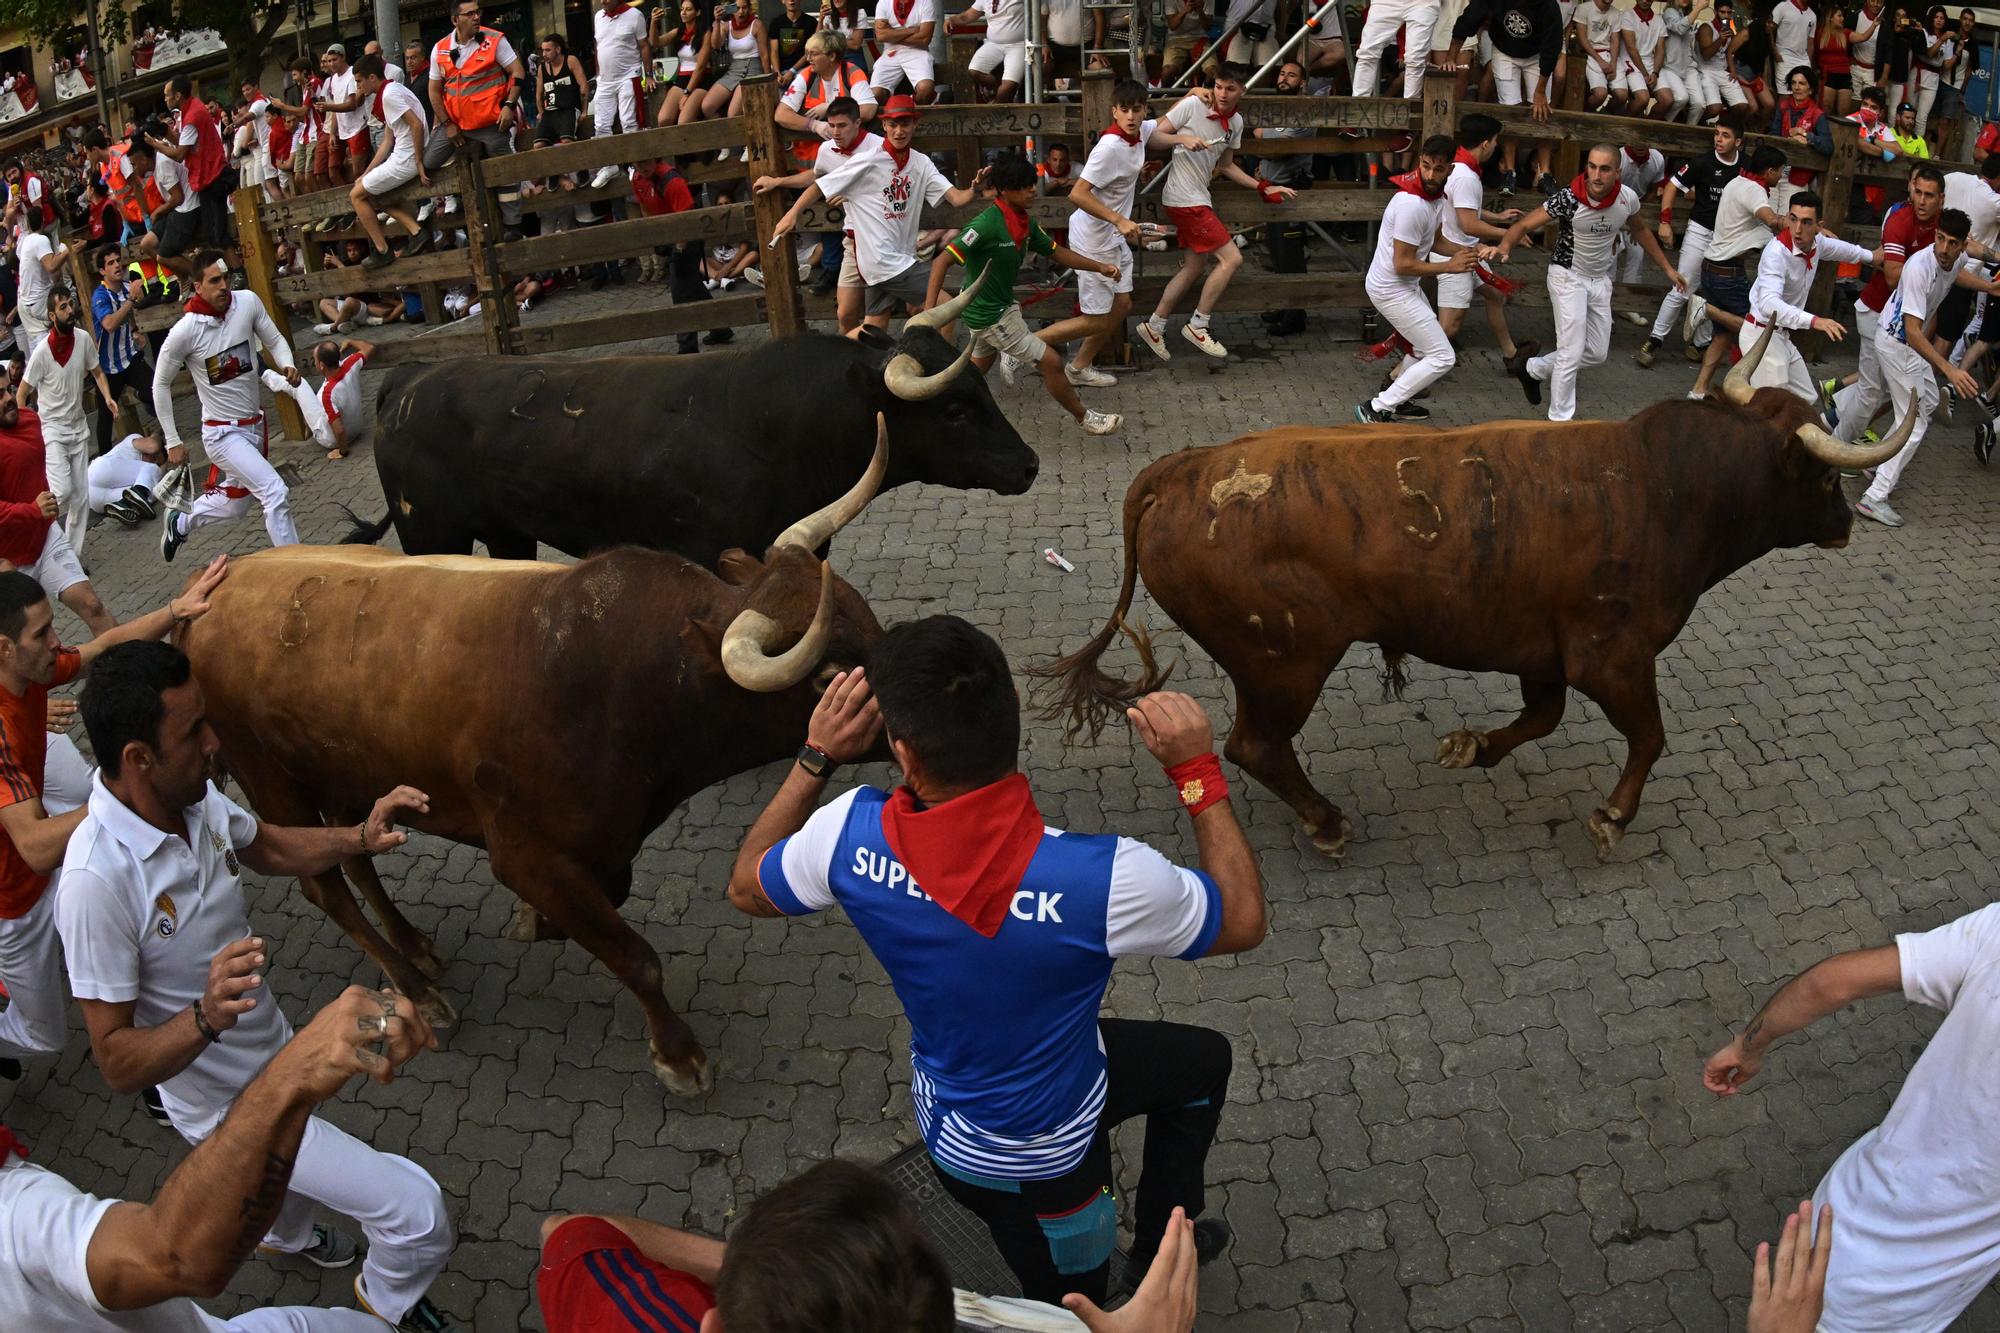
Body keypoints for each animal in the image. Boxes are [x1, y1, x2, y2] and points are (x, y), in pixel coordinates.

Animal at [180, 422, 900, 1088]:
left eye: (868, 617)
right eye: (825, 675)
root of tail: (212, 594)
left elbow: (611, 896)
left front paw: (535, 922)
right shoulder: (523, 851)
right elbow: (633, 954)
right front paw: (678, 1054)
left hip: (338, 772)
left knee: (354, 855)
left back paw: (414, 946)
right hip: (272, 779)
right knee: (326, 886)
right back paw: (416, 991)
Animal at [1040, 330, 1912, 852]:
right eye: (1823, 477)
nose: (1845, 522)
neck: (1666, 485)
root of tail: (1183, 468)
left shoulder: (1543, 649)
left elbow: (1541, 715)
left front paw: (1471, 746)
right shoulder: (1613, 655)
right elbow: (1649, 737)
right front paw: (1613, 814)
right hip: (1283, 661)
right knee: (1255, 745)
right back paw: (1328, 821)